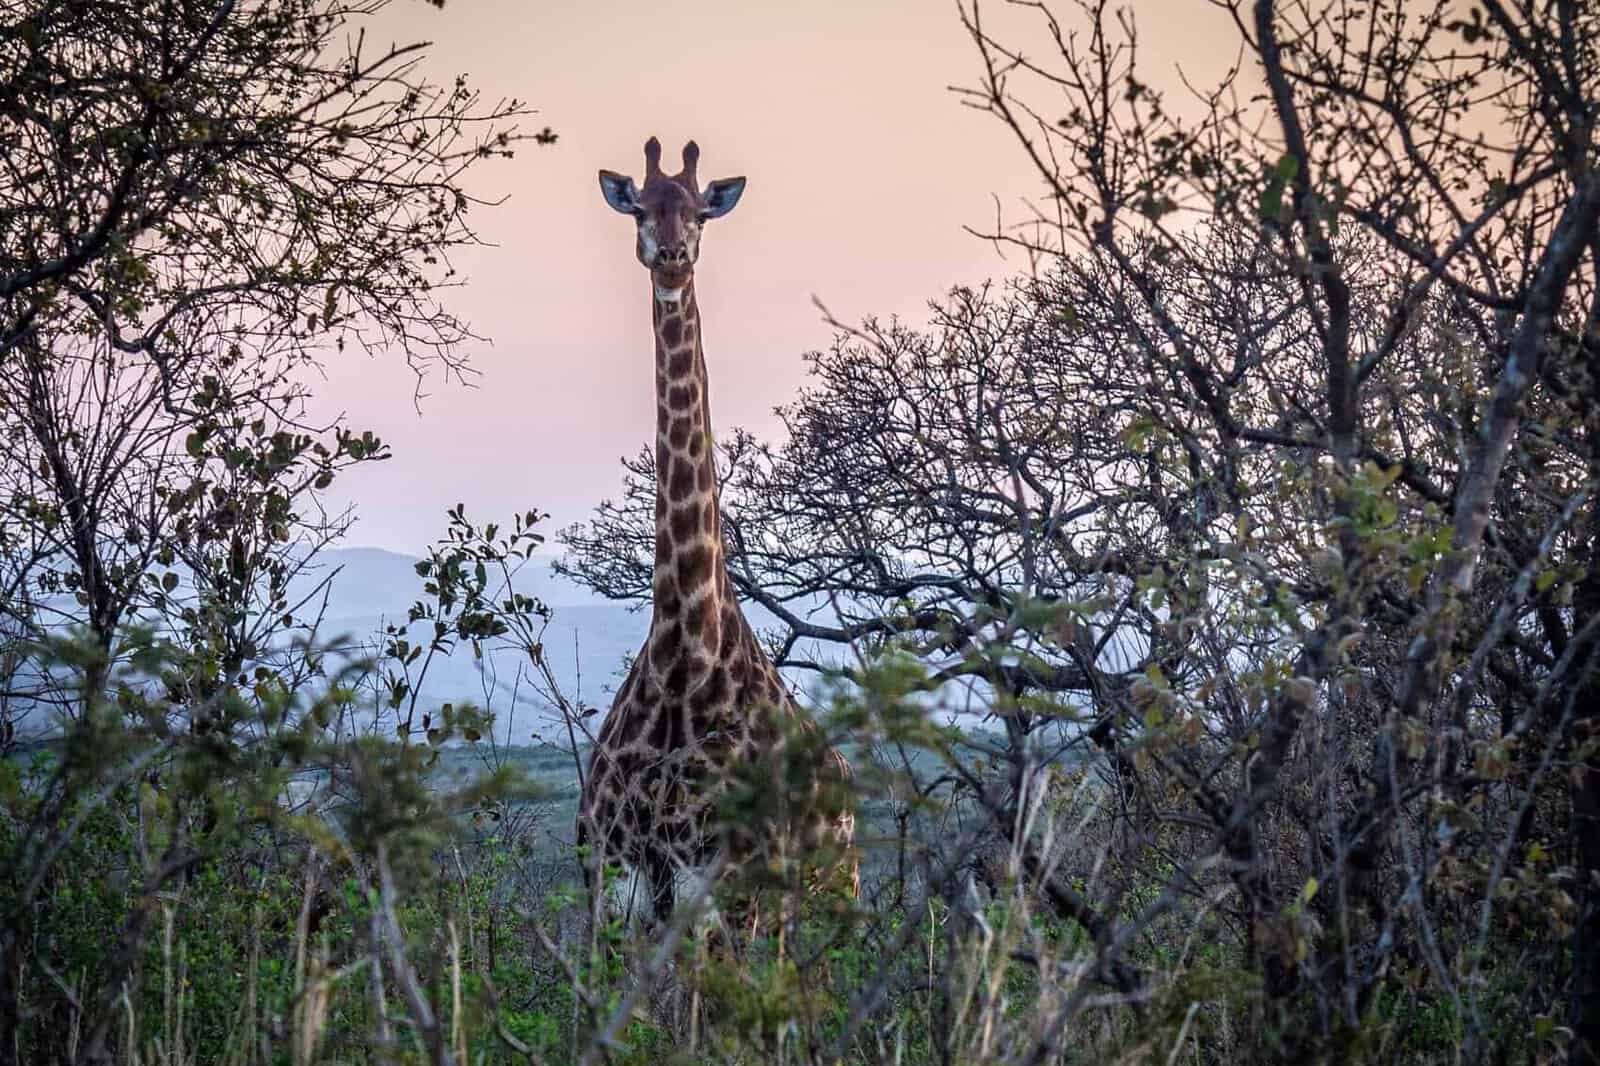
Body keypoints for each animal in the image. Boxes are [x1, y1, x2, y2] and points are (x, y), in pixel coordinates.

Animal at [577, 137, 856, 936]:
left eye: (700, 211)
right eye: (639, 207)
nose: (672, 255)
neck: (683, 655)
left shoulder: (731, 891)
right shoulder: (621, 887)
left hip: (829, 900)